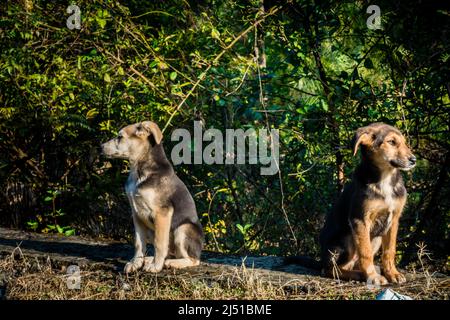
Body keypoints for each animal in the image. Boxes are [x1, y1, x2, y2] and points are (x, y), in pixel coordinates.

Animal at [102, 120, 202, 272]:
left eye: (120, 137)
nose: (100, 147)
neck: (138, 171)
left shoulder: (162, 212)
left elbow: (159, 243)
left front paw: (156, 266)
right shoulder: (136, 213)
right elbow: (139, 242)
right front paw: (136, 263)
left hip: (183, 229)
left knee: (193, 259)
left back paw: (170, 263)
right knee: (170, 252)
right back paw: (150, 259)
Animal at [322, 122, 416, 284]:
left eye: (404, 142)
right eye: (391, 142)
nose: (413, 160)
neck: (385, 178)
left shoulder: (394, 219)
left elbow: (390, 250)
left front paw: (393, 274)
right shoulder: (359, 219)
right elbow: (365, 253)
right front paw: (373, 277)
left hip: (376, 238)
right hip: (346, 239)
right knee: (331, 269)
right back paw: (359, 275)